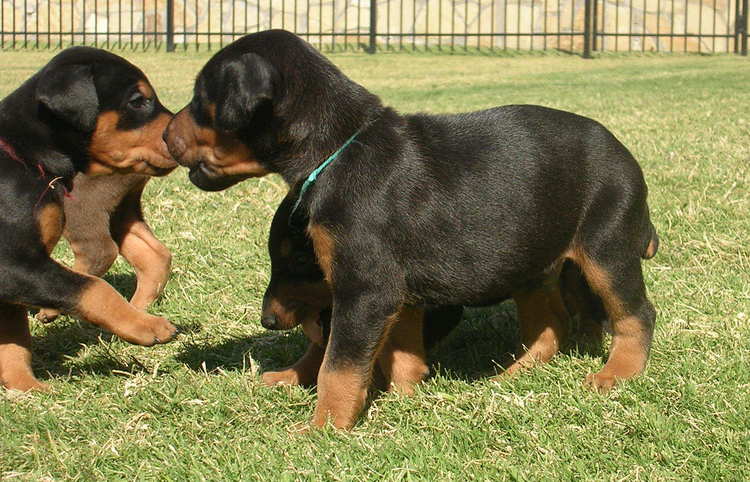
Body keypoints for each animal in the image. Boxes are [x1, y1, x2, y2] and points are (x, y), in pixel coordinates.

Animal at [0, 46, 178, 392]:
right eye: (138, 101)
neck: (24, 156)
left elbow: (14, 342)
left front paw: (29, 390)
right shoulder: (12, 265)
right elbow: (94, 288)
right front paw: (147, 326)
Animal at [164, 30, 656, 430]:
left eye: (199, 99)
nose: (166, 134)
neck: (339, 148)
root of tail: (627, 156)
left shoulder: (365, 288)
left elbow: (338, 366)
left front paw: (324, 427)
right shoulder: (391, 291)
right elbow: (397, 349)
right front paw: (406, 396)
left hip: (606, 247)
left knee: (635, 313)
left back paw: (616, 375)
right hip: (532, 258)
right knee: (551, 323)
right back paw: (511, 375)